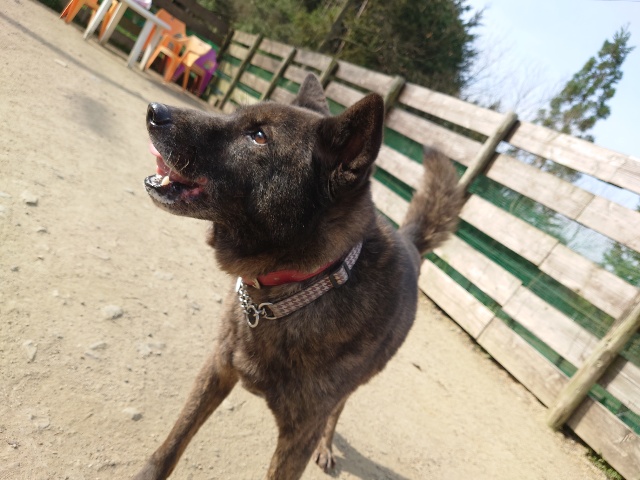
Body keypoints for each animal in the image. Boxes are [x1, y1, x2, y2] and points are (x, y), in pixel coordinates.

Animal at [136, 74, 463, 480]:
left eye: (259, 136)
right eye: (236, 116)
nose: (154, 111)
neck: (289, 292)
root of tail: (410, 241)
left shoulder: (298, 437)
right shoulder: (216, 370)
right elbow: (174, 442)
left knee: (336, 413)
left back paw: (328, 447)